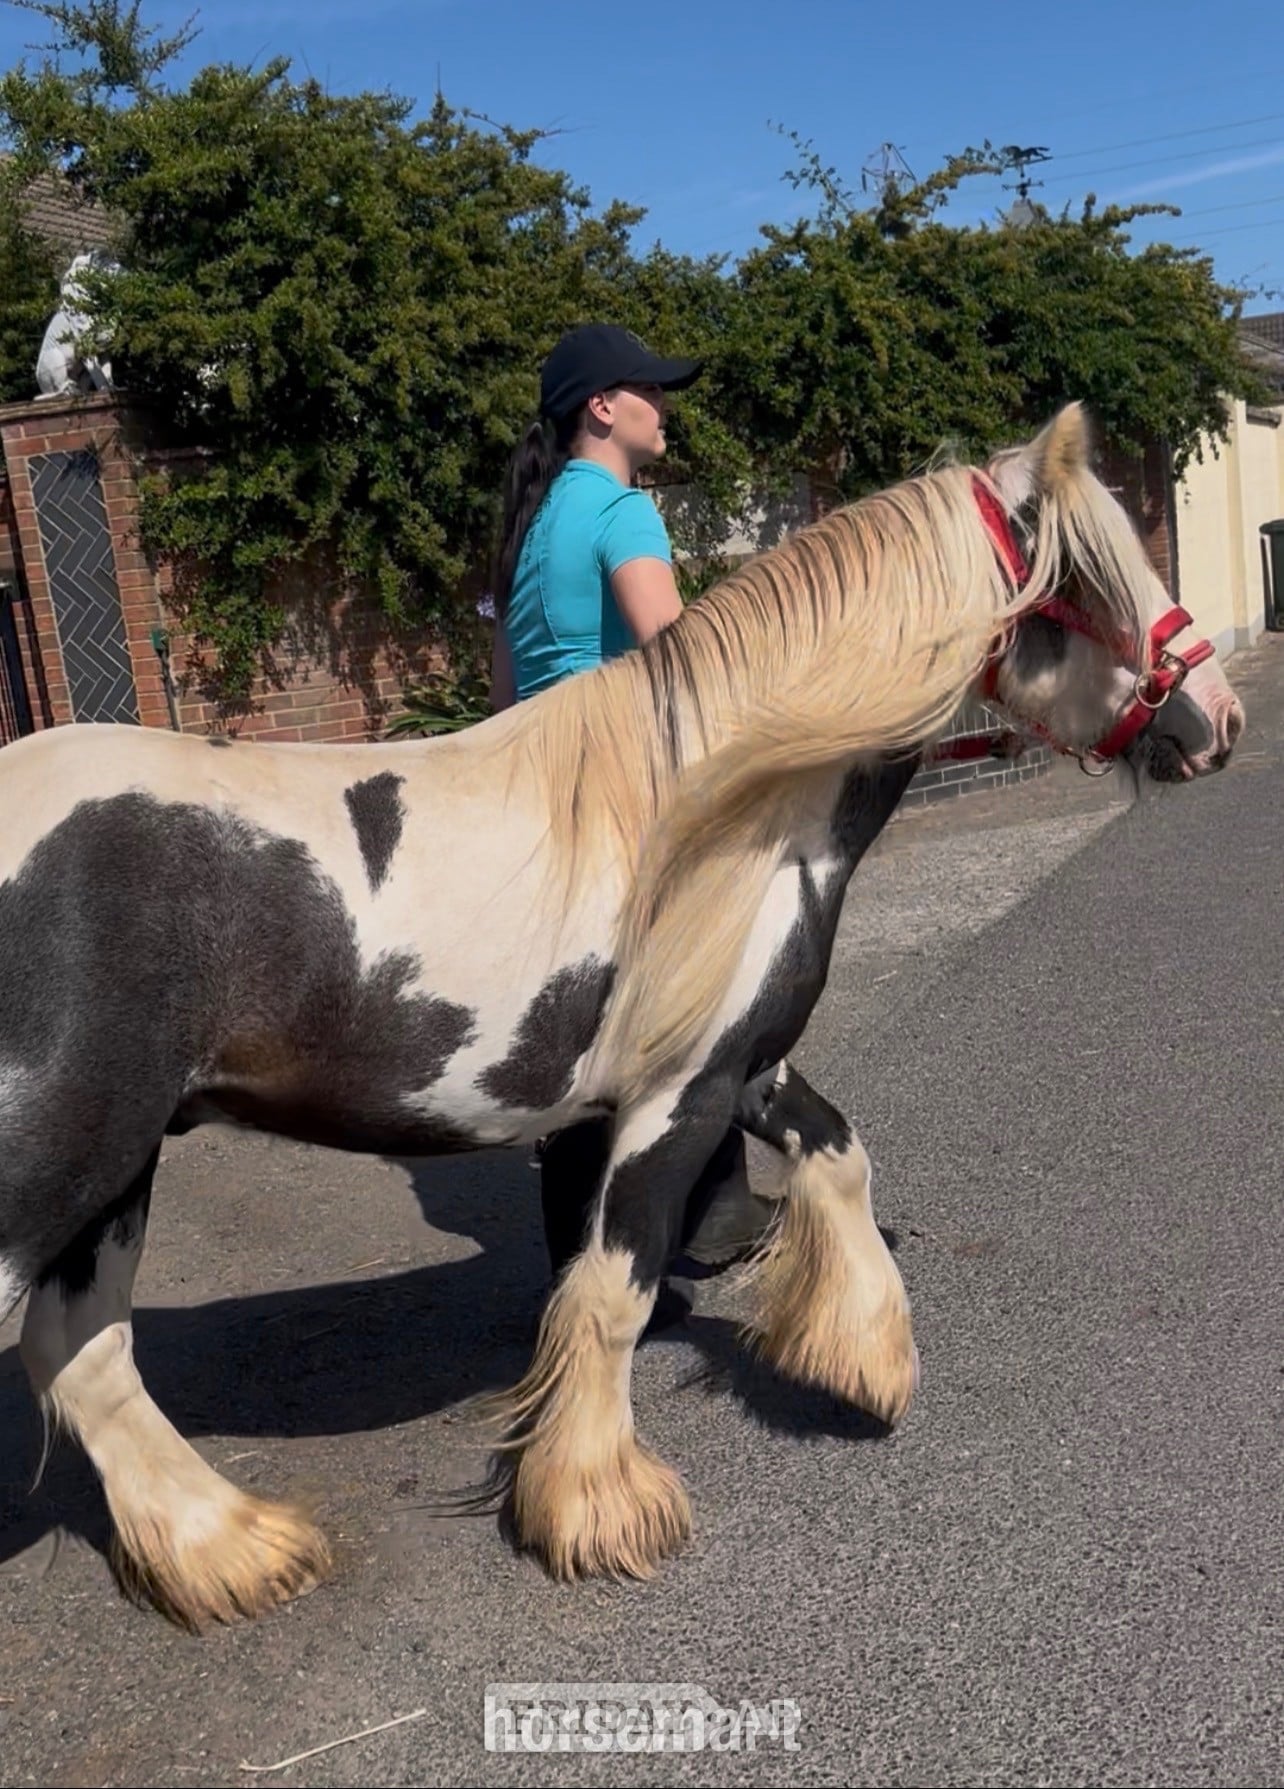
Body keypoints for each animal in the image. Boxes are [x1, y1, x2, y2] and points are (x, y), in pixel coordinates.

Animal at [0, 402, 1244, 1632]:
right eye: (1085, 576)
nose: (1218, 721)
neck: (714, 811)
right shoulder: (674, 1097)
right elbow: (612, 1290)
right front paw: (597, 1508)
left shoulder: (743, 1062)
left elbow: (839, 1154)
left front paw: (860, 1359)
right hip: (62, 1171)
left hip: (113, 1170)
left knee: (84, 1354)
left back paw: (225, 1547)